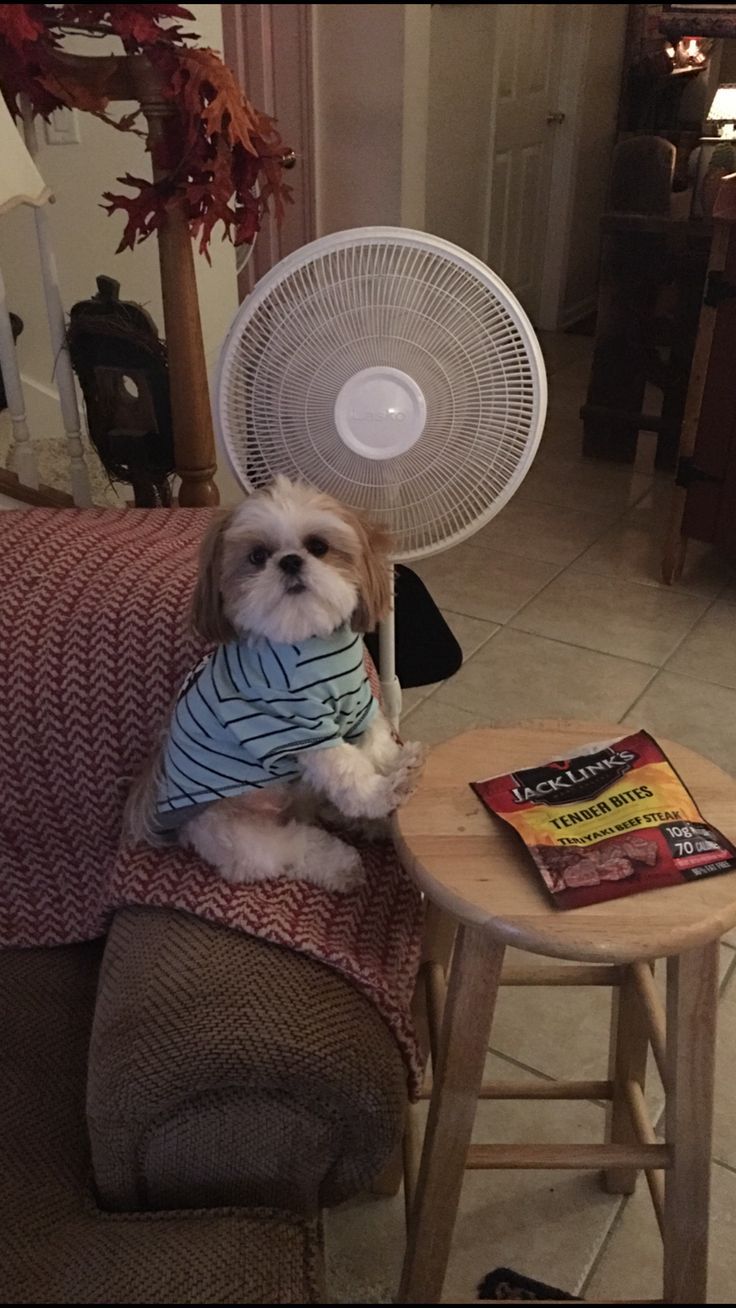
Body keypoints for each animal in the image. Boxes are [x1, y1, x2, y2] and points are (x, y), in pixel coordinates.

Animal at [126, 476, 426, 894]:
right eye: (257, 556)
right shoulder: (297, 728)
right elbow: (350, 775)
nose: (290, 561)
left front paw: (397, 767)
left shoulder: (359, 709)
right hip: (242, 834)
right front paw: (385, 791)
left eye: (318, 546)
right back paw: (343, 863)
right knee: (293, 845)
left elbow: (376, 750)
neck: (310, 640)